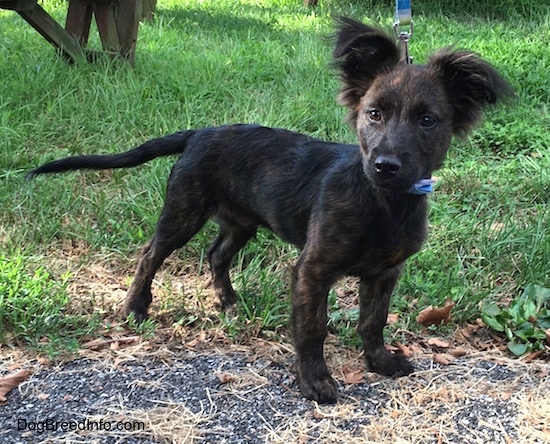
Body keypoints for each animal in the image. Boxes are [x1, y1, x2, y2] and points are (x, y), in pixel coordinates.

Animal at [29, 20, 512, 402]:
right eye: (374, 114)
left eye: (428, 120)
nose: (385, 165)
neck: (382, 202)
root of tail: (199, 132)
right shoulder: (312, 270)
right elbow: (313, 328)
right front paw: (315, 382)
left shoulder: (385, 272)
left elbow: (372, 321)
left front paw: (380, 362)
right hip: (184, 210)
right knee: (151, 253)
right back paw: (136, 308)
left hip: (241, 222)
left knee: (216, 255)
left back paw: (228, 302)